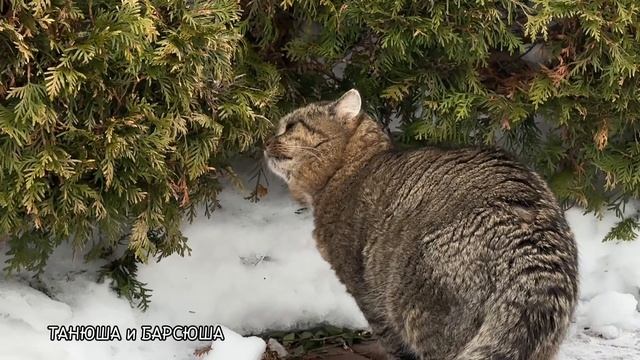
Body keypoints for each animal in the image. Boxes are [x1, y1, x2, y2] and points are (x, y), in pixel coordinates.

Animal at [264, 88, 580, 358]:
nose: (265, 142)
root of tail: (530, 246)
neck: (353, 167)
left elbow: (392, 343)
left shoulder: (365, 291)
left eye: (290, 127)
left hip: (417, 306)